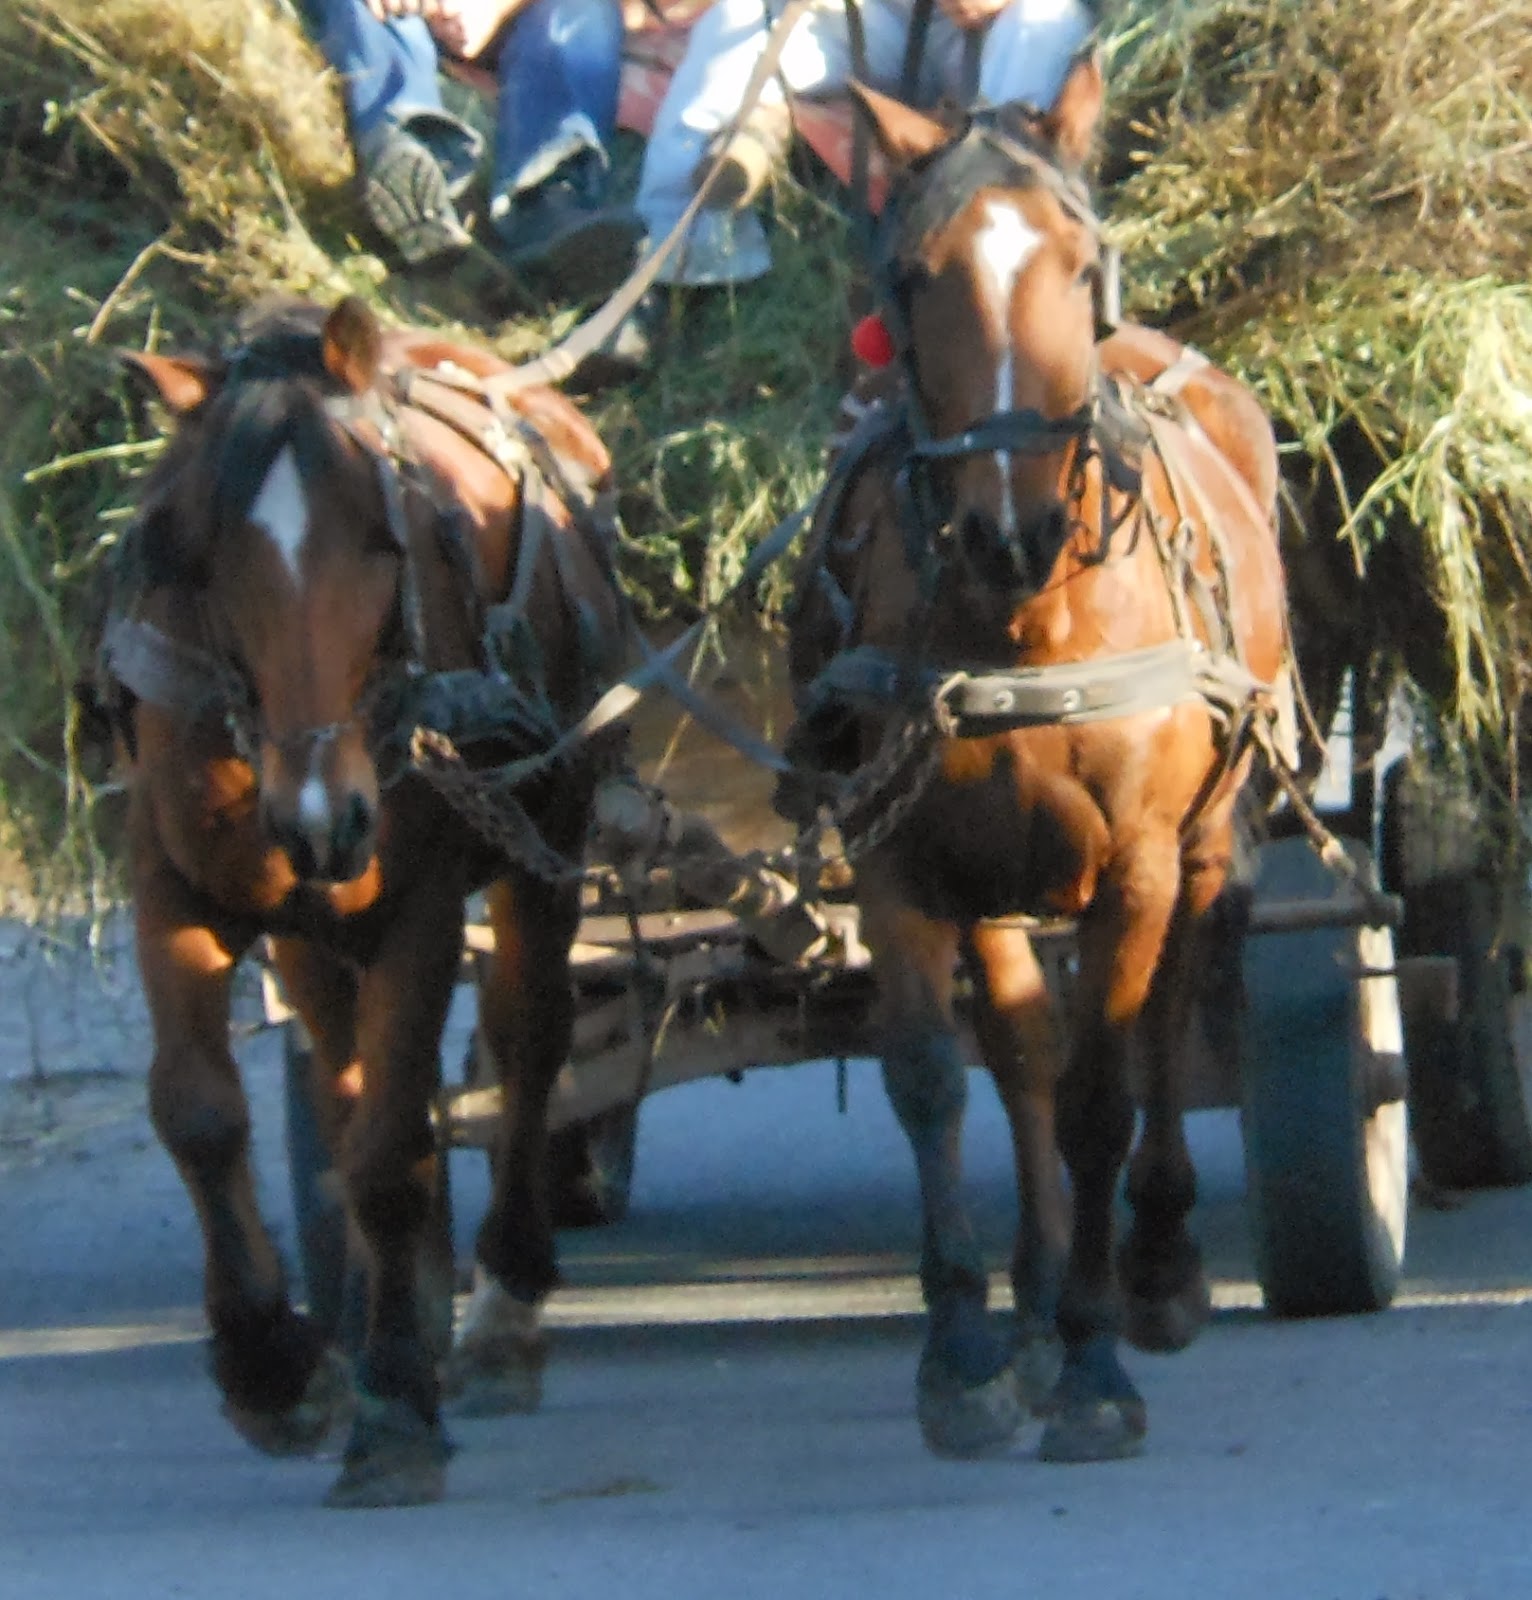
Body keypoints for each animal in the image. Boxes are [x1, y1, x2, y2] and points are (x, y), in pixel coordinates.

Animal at [98, 294, 626, 1506]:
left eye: (386, 546)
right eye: (202, 553)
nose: (325, 816)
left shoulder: (421, 906)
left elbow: (390, 1150)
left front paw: (391, 1408)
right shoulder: (170, 886)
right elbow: (200, 1112)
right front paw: (272, 1365)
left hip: (545, 840)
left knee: (531, 1042)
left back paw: (503, 1306)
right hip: (310, 927)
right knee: (341, 1073)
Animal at [777, 58, 1292, 1461]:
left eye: (1077, 261)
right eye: (914, 276)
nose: (1010, 523)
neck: (1023, 621)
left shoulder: (1135, 864)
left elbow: (1104, 1089)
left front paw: (1095, 1360)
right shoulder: (896, 859)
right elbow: (933, 1081)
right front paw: (963, 1348)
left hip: (1200, 841)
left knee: (1168, 1005)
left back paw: (1152, 1264)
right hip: (994, 875)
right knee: (1015, 1049)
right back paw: (1033, 1291)